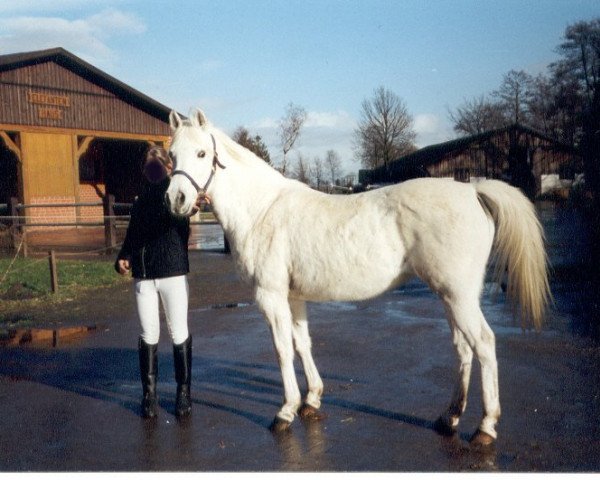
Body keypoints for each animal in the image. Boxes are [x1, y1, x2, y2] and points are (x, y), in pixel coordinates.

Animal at [166, 109, 552, 446]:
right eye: (171, 154)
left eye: (202, 153)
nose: (176, 199)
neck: (263, 208)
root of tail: (472, 190)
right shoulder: (294, 297)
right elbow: (302, 344)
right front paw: (312, 400)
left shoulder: (271, 296)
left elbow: (282, 350)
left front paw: (286, 411)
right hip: (453, 296)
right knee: (463, 347)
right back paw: (450, 417)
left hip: (458, 296)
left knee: (483, 344)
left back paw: (485, 427)